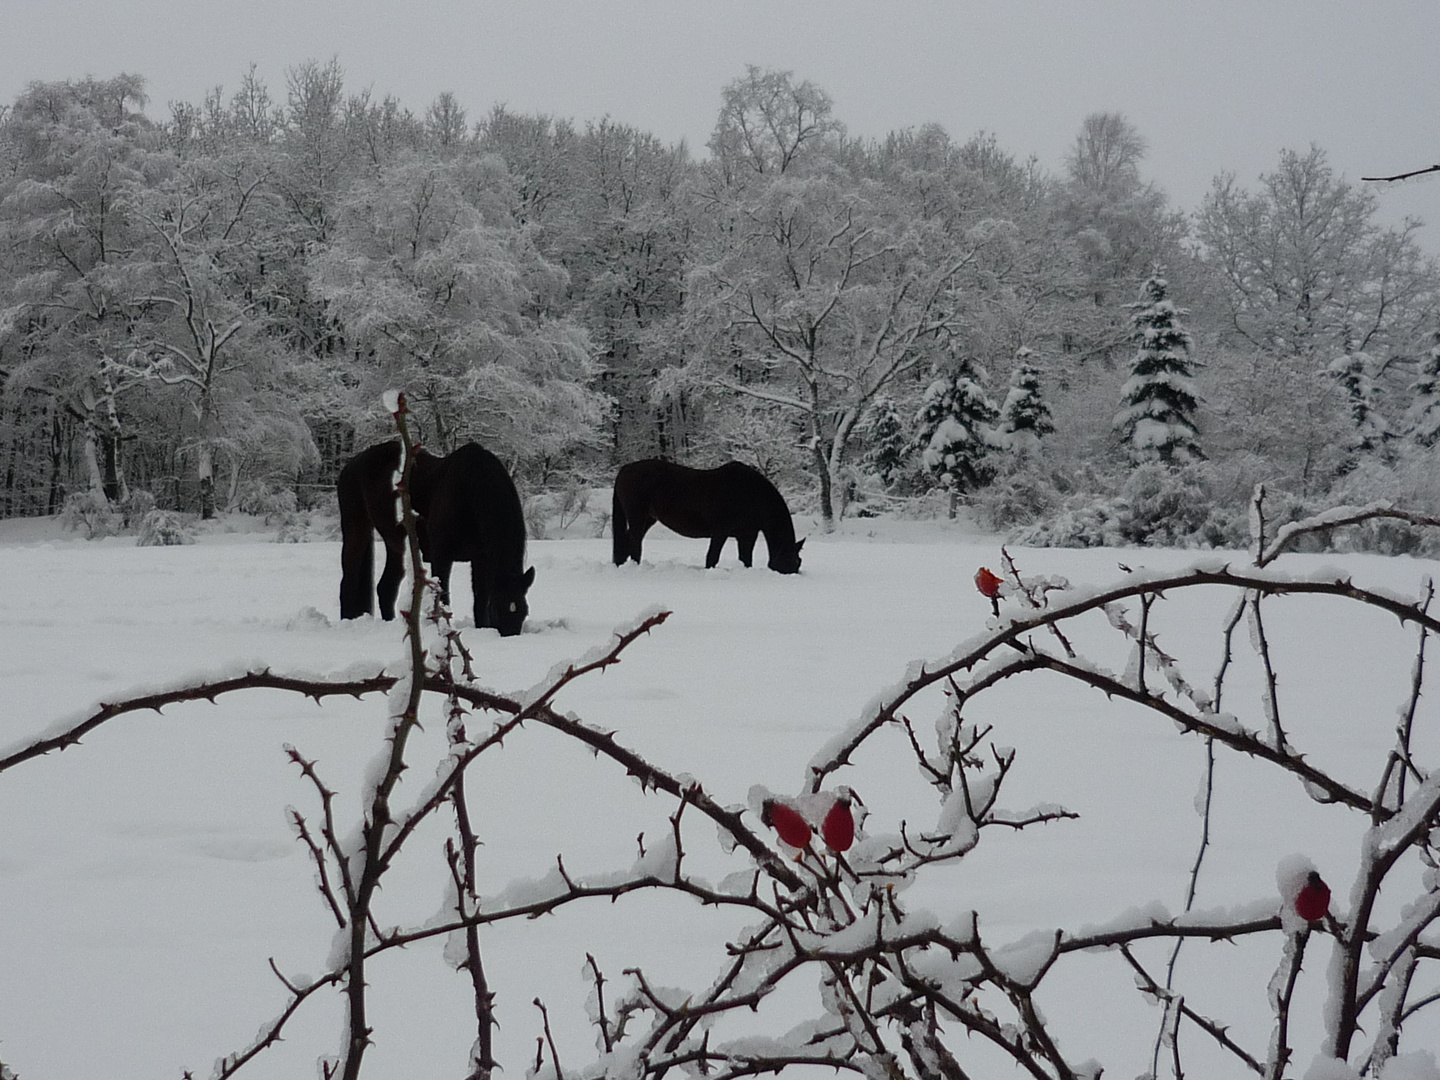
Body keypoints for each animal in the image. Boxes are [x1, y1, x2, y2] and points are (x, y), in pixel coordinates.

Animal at [336, 443, 535, 639]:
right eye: (496, 610)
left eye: (524, 612)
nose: (510, 636)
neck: (468, 491)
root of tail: (352, 464)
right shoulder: (441, 556)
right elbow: (443, 598)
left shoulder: (481, 559)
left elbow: (480, 600)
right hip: (356, 529)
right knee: (348, 583)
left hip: (398, 546)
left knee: (385, 588)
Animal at [610, 457, 806, 576]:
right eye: (791, 562)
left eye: (799, 562)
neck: (749, 494)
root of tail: (624, 469)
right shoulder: (720, 532)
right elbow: (712, 557)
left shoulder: (747, 535)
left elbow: (745, 560)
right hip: (637, 516)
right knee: (634, 542)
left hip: (648, 518)